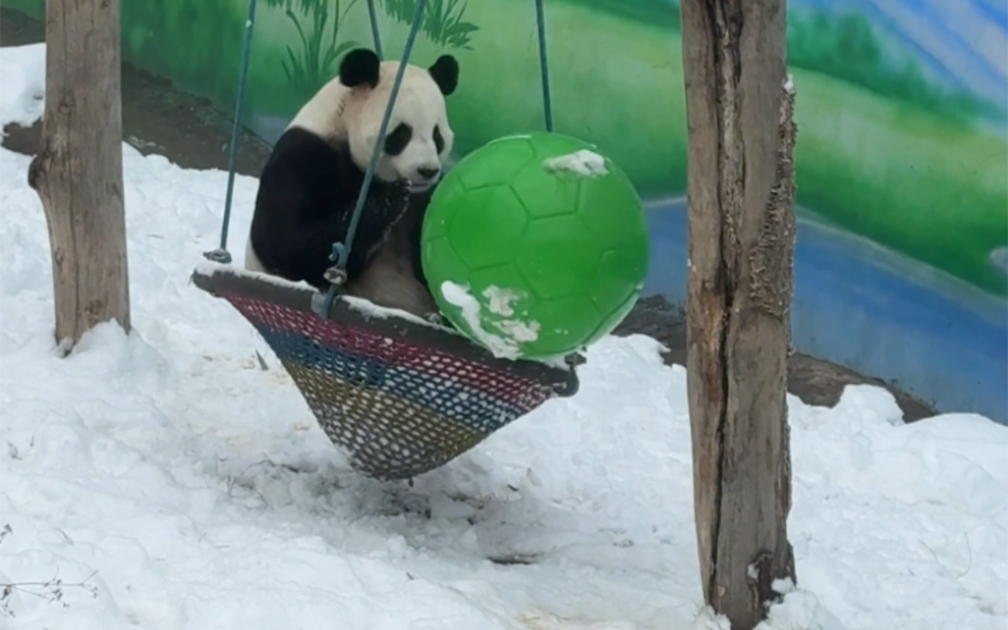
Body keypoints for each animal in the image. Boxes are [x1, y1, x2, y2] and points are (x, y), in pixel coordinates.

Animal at [245, 47, 459, 318]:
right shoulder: (305, 157)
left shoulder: (425, 199)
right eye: (401, 134)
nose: (428, 170)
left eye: (437, 135)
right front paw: (389, 199)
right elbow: (284, 244)